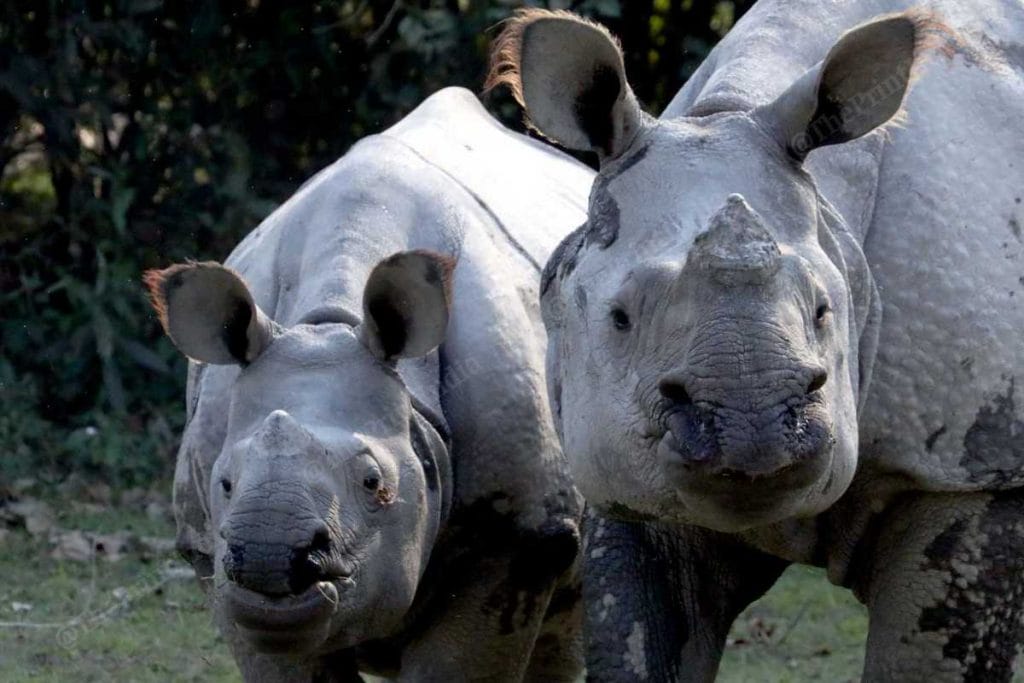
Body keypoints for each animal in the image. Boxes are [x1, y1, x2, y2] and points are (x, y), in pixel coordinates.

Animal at [144, 87, 592, 681]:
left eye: (374, 482)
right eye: (225, 483)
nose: (269, 557)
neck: (329, 323)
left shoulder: (515, 539)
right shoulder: (214, 564)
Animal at [489, 3, 1024, 680]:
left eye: (824, 311)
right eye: (619, 318)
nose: (753, 421)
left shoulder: (968, 469)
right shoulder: (625, 476)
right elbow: (639, 641)